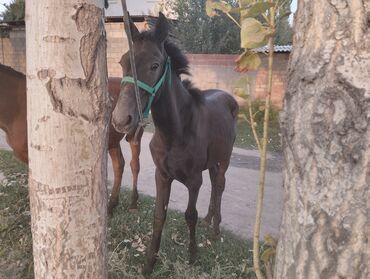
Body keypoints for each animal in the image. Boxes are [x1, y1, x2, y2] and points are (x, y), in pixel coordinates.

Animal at [0, 63, 142, 215]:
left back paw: (133, 203)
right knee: (118, 165)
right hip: (113, 139)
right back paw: (111, 206)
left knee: (134, 164)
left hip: (135, 133)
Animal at [111, 13, 238, 276]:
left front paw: (192, 255)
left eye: (154, 65)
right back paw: (209, 219)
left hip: (224, 159)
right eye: (122, 61)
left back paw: (215, 229)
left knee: (220, 185)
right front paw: (149, 263)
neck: (176, 132)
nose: (121, 120)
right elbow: (159, 215)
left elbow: (190, 215)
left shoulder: (194, 181)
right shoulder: (162, 175)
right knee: (215, 184)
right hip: (212, 162)